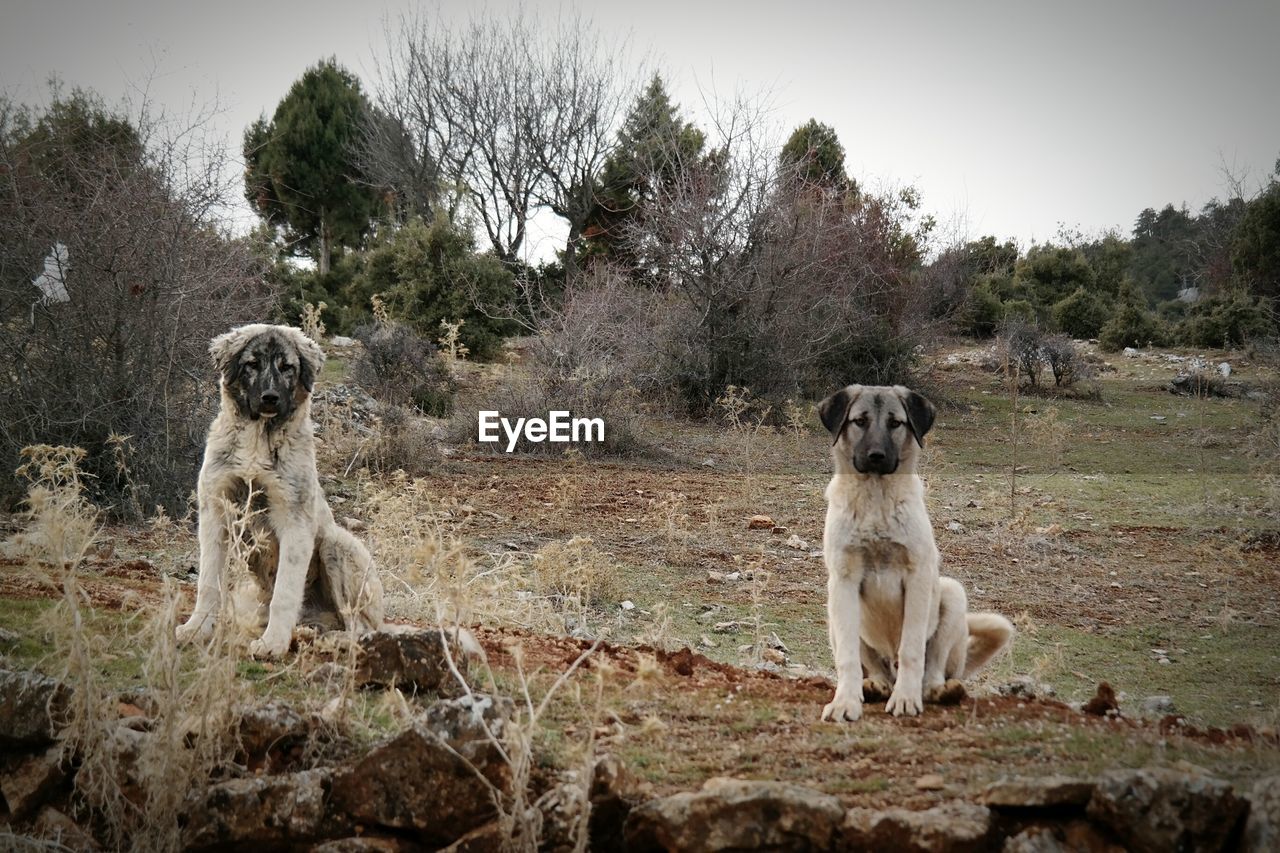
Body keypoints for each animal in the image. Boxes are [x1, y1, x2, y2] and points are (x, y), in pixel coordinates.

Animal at [176, 322, 384, 653]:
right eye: (252, 364)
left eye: (287, 367)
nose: (270, 397)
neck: (257, 440)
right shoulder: (216, 513)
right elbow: (208, 581)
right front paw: (197, 629)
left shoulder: (294, 521)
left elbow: (285, 592)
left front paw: (272, 643)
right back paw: (306, 632)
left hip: (336, 544)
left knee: (360, 628)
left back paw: (328, 638)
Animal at [819, 384, 1008, 717]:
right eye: (859, 421)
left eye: (895, 423)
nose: (876, 457)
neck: (876, 500)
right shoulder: (843, 580)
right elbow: (848, 657)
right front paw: (845, 702)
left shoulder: (917, 577)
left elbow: (912, 650)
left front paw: (906, 699)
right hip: (832, 611)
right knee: (874, 667)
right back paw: (875, 685)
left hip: (951, 594)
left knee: (932, 669)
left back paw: (939, 691)